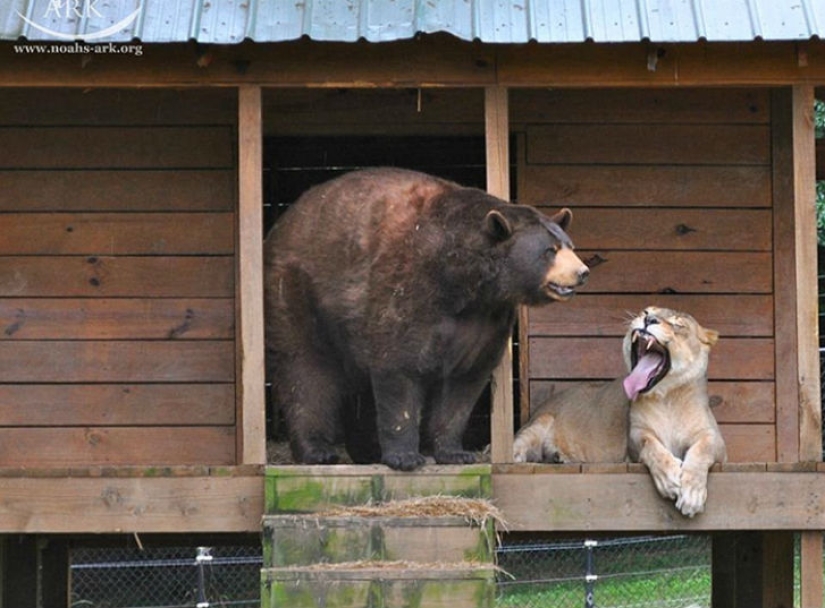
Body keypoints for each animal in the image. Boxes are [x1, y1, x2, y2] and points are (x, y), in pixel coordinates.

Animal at [264, 167, 589, 471]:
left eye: (570, 245)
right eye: (549, 250)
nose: (582, 272)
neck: (463, 282)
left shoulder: (485, 319)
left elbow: (464, 381)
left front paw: (455, 452)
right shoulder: (408, 286)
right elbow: (398, 367)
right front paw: (405, 456)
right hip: (296, 291)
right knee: (305, 369)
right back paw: (317, 450)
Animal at [513, 306, 727, 517]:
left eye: (678, 325)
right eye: (646, 311)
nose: (649, 319)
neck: (667, 399)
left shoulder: (714, 439)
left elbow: (701, 451)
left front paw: (692, 495)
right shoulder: (635, 436)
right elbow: (651, 447)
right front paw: (670, 479)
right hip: (541, 421)